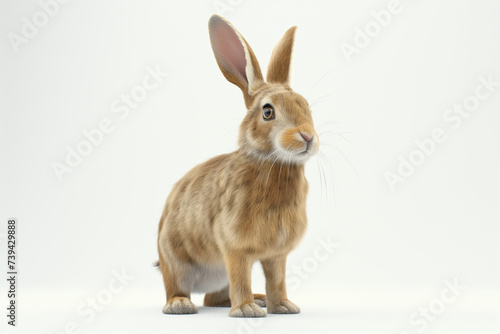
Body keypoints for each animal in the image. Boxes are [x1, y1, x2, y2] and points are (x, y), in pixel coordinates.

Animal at [157, 15, 320, 318]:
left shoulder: (276, 255)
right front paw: (245, 311)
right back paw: (181, 305)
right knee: (178, 286)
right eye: (267, 111)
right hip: (175, 261)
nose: (307, 136)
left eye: (306, 107)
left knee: (214, 297)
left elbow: (277, 280)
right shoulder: (235, 250)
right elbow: (241, 276)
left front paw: (283, 306)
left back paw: (257, 299)